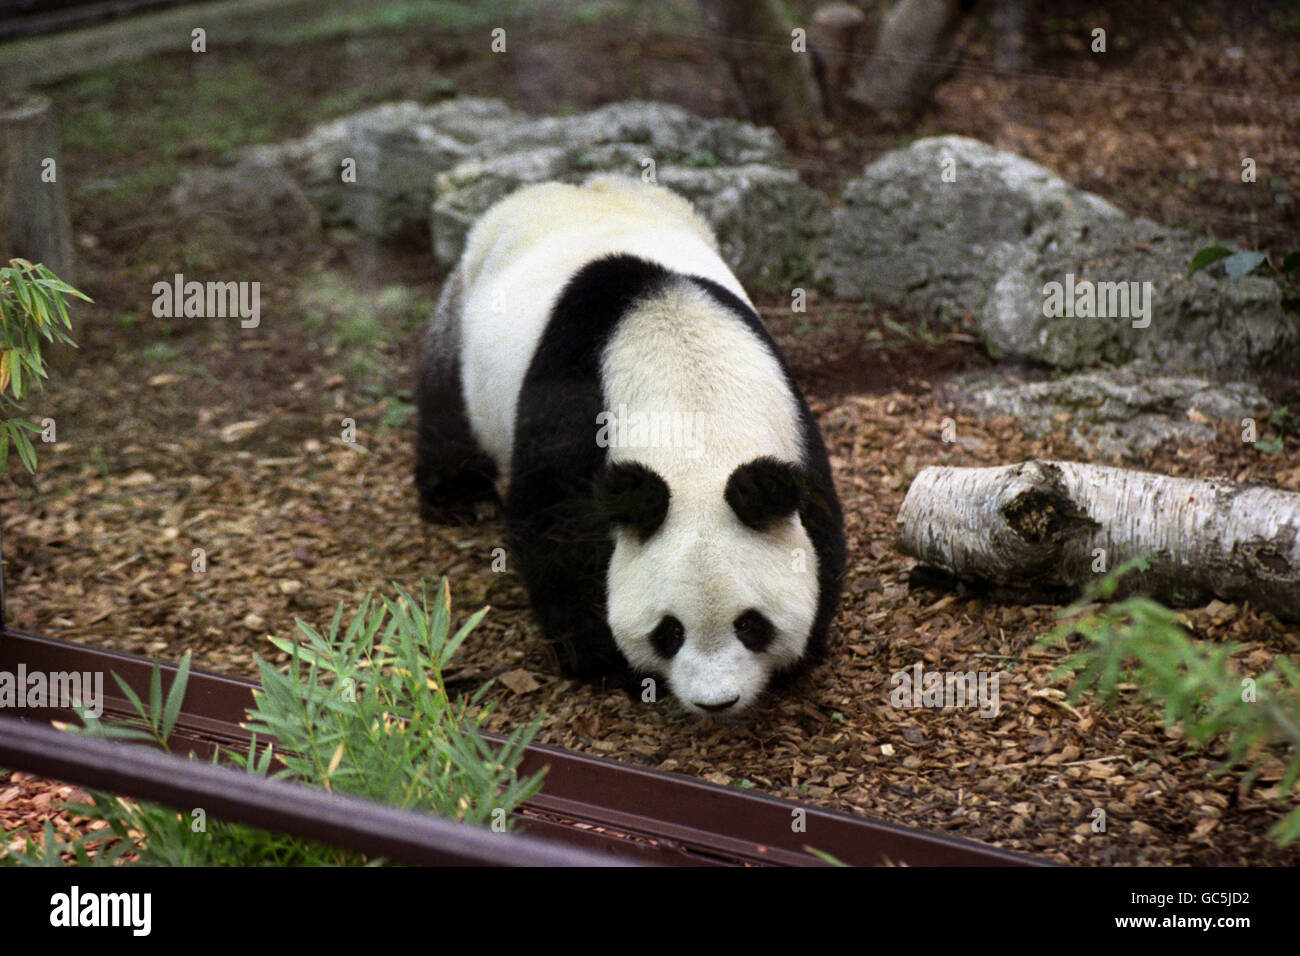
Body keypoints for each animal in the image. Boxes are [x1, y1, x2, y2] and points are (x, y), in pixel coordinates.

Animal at [415, 175, 844, 717]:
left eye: (751, 625)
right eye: (670, 632)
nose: (716, 702)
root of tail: (578, 186)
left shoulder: (789, 412)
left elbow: (817, 516)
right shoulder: (574, 406)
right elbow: (553, 523)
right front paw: (597, 656)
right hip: (464, 308)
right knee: (447, 407)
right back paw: (461, 497)